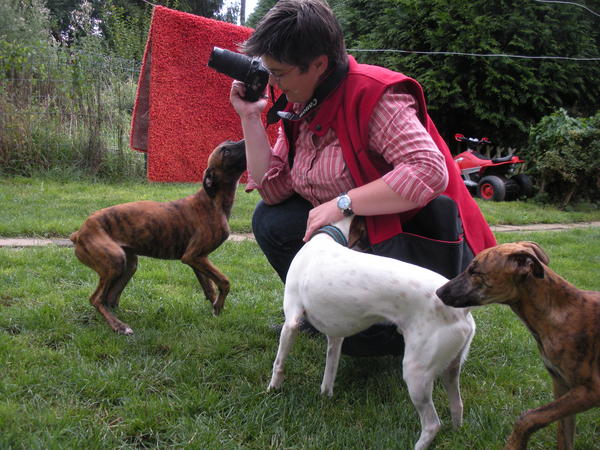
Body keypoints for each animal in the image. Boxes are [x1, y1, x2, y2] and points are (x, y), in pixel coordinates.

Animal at [71, 141, 246, 334]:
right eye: (226, 151)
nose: (247, 141)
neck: (212, 199)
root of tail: (79, 232)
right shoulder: (193, 256)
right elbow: (224, 281)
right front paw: (219, 307)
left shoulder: (199, 259)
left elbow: (209, 288)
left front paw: (215, 309)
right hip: (115, 261)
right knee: (96, 299)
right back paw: (120, 326)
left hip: (129, 265)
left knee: (110, 298)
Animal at [270, 216, 476, 448]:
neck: (326, 236)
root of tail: (463, 311)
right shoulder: (336, 336)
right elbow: (329, 373)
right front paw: (325, 396)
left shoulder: (291, 322)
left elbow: (278, 363)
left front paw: (272, 390)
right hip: (451, 369)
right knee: (457, 405)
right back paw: (457, 433)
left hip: (416, 373)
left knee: (432, 424)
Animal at [436, 243, 600, 450]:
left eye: (475, 271)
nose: (438, 292)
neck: (559, 313)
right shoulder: (562, 385)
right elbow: (563, 436)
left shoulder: (592, 390)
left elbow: (528, 417)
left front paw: (514, 443)